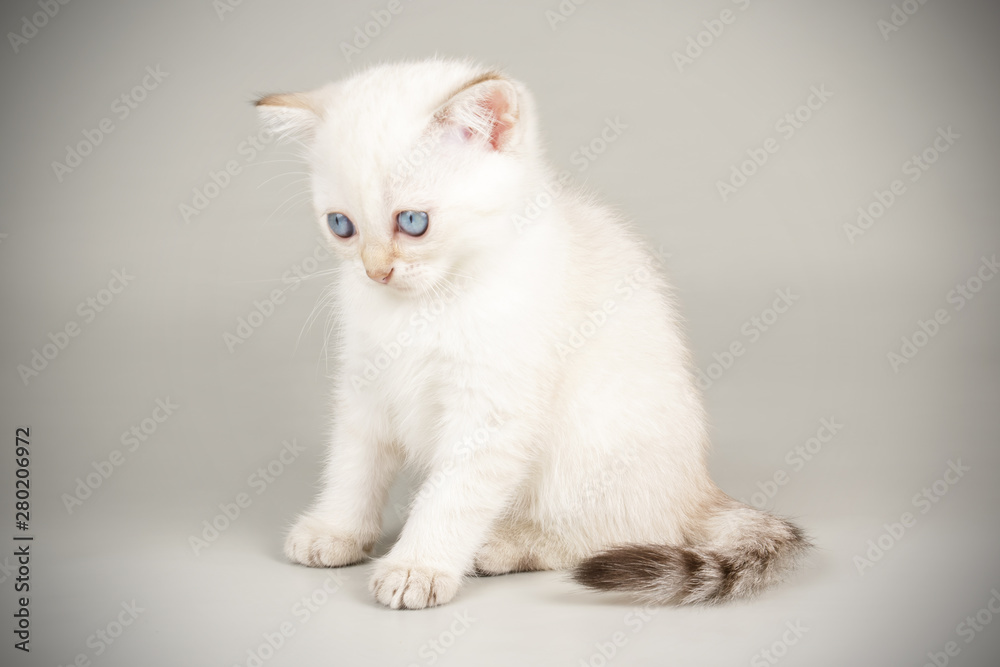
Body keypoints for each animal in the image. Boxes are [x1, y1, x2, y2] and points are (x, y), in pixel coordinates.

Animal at [254, 57, 808, 612]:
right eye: (340, 225)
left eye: (412, 221)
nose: (376, 272)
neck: (424, 305)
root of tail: (700, 490)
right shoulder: (365, 382)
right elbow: (353, 464)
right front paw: (336, 531)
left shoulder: (491, 407)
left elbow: (452, 495)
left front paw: (417, 566)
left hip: (592, 435)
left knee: (608, 533)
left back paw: (502, 546)